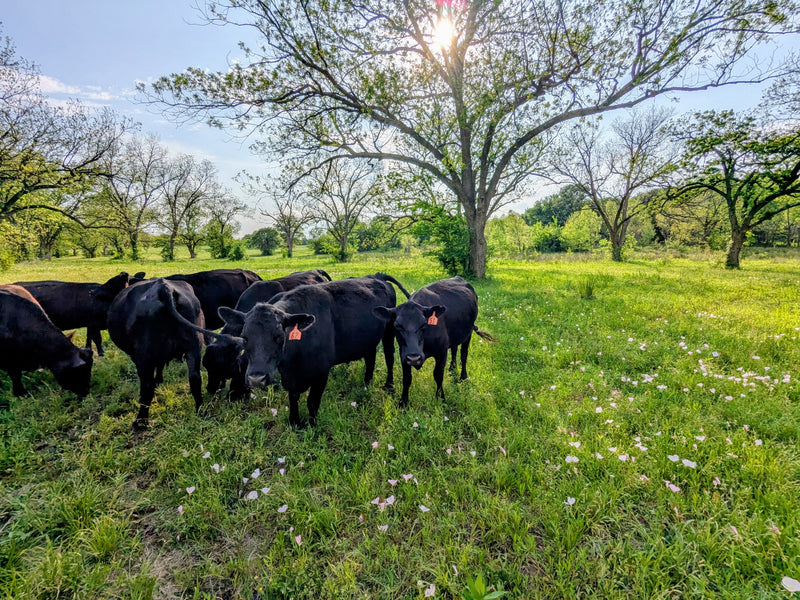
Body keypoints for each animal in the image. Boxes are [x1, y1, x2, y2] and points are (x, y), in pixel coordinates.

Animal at [107, 277, 236, 430]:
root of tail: (164, 288)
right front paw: (159, 379)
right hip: (193, 346)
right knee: (195, 378)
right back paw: (200, 410)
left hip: (145, 354)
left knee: (147, 386)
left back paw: (140, 422)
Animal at [218, 273, 411, 428]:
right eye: (245, 337)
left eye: (279, 336)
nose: (256, 379)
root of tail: (377, 276)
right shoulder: (289, 376)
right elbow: (293, 397)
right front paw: (294, 422)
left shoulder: (321, 372)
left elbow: (312, 401)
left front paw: (312, 425)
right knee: (370, 358)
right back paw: (366, 383)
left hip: (388, 332)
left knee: (389, 357)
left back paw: (389, 385)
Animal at [372, 276, 496, 407]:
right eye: (397, 326)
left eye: (423, 325)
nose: (414, 358)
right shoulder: (404, 354)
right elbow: (406, 378)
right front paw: (403, 402)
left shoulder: (441, 352)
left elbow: (438, 375)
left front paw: (441, 398)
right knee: (454, 349)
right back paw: (452, 369)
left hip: (468, 333)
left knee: (463, 354)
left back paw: (463, 377)